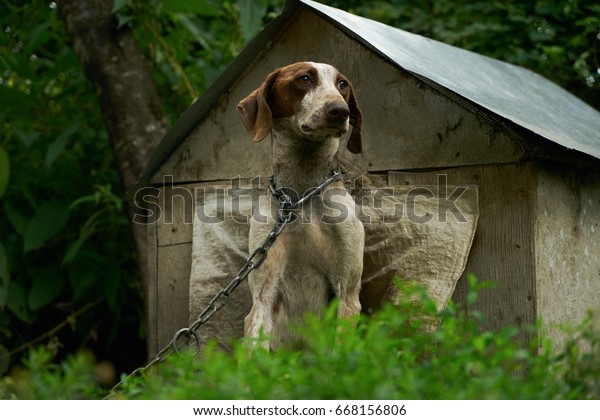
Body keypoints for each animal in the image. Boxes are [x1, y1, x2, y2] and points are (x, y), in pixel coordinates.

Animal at [237, 61, 364, 352]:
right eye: (304, 79)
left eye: (342, 84)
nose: (341, 111)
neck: (301, 196)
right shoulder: (262, 294)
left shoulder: (347, 293)